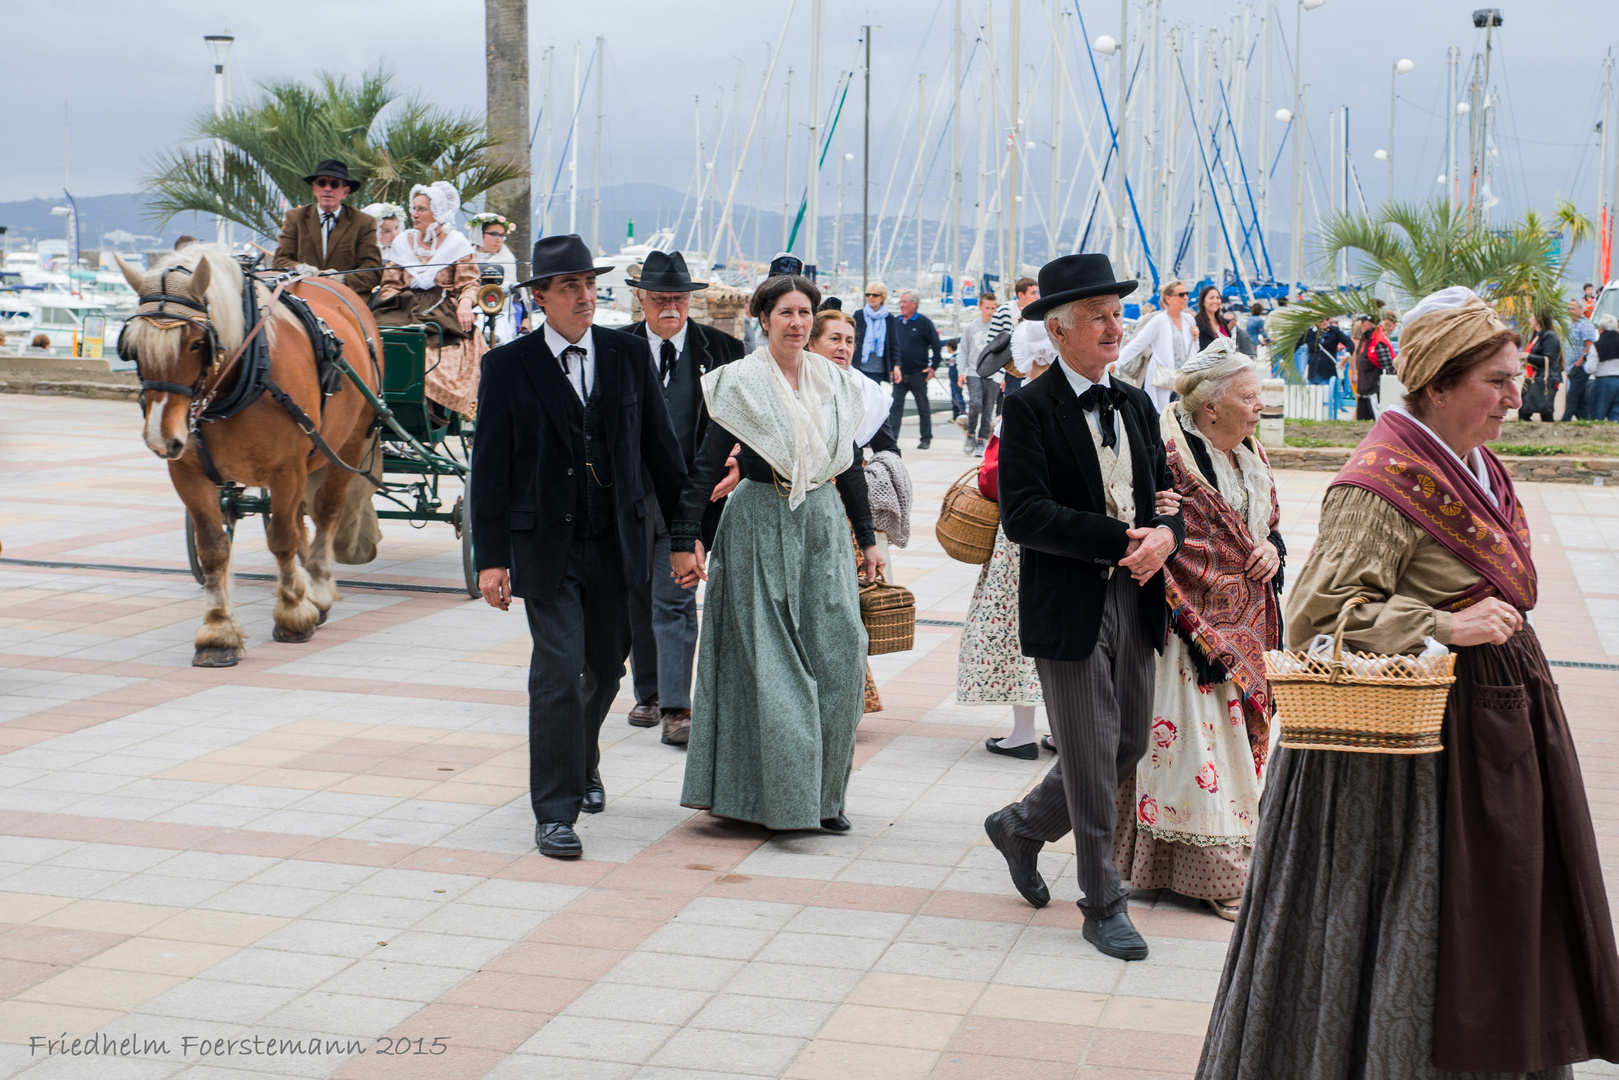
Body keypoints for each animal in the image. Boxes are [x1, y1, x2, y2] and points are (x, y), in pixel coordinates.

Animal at [117, 244, 382, 667]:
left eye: (196, 343)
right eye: (133, 345)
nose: (161, 439)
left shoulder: (287, 470)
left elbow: (283, 540)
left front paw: (293, 614)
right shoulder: (187, 473)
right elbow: (213, 548)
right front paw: (217, 631)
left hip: (349, 443)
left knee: (326, 511)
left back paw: (319, 588)